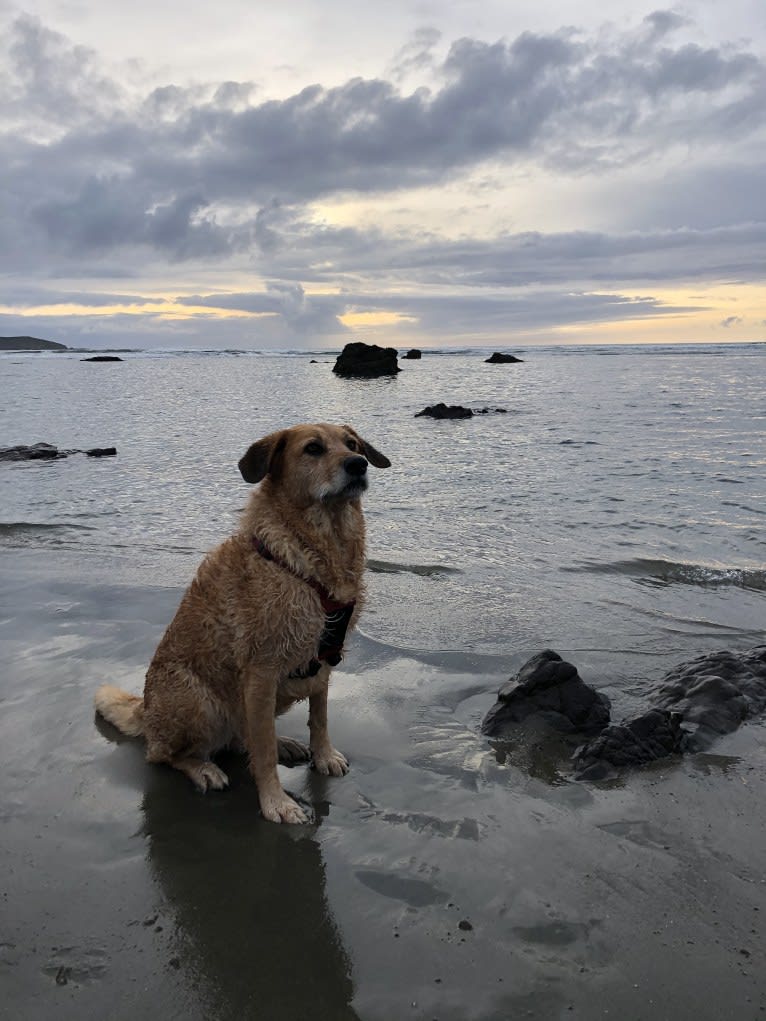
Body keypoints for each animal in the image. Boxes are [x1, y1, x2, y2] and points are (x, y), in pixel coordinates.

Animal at [94, 420, 390, 820]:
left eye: (353, 444)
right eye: (313, 448)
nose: (358, 464)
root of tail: (145, 711)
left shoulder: (323, 662)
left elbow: (320, 717)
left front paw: (323, 755)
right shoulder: (261, 671)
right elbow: (262, 753)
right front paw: (275, 802)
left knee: (242, 737)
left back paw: (283, 742)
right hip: (198, 700)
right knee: (165, 754)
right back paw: (202, 768)